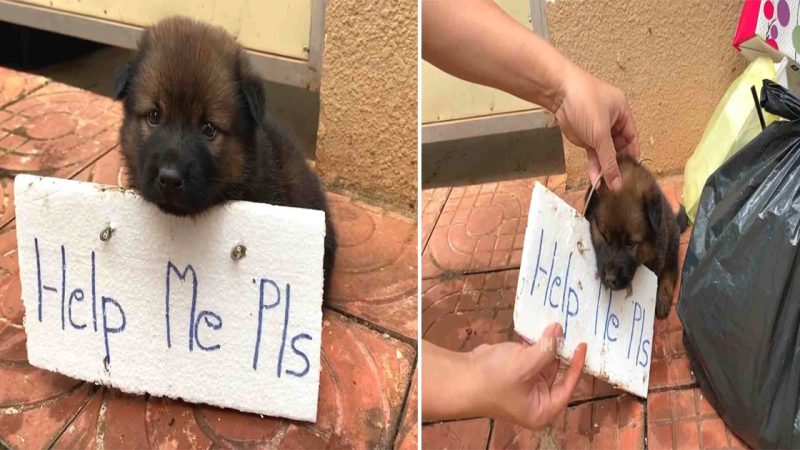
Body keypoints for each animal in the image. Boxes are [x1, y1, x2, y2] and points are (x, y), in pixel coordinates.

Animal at [580, 156, 688, 318]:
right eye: (604, 236)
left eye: (630, 243)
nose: (609, 279)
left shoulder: (658, 257)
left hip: (672, 241)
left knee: (672, 269)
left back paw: (663, 297)